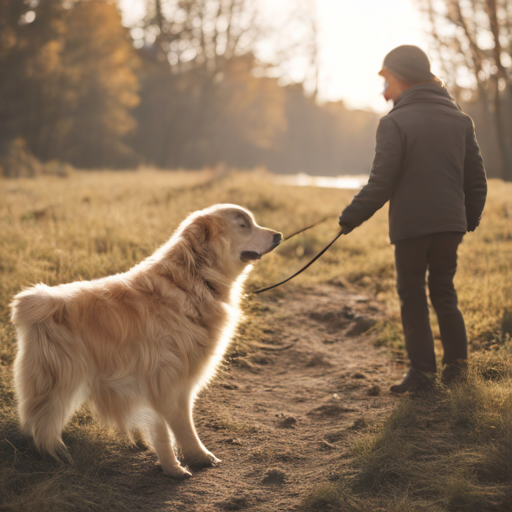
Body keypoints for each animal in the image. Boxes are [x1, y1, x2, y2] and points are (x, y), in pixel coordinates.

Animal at [12, 206, 282, 478]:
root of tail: (40, 300)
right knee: (41, 423)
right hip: (58, 384)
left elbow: (163, 426)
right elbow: (179, 426)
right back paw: (54, 454)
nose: (279, 235)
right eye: (243, 225)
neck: (193, 279)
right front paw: (188, 461)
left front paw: (172, 463)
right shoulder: (169, 381)